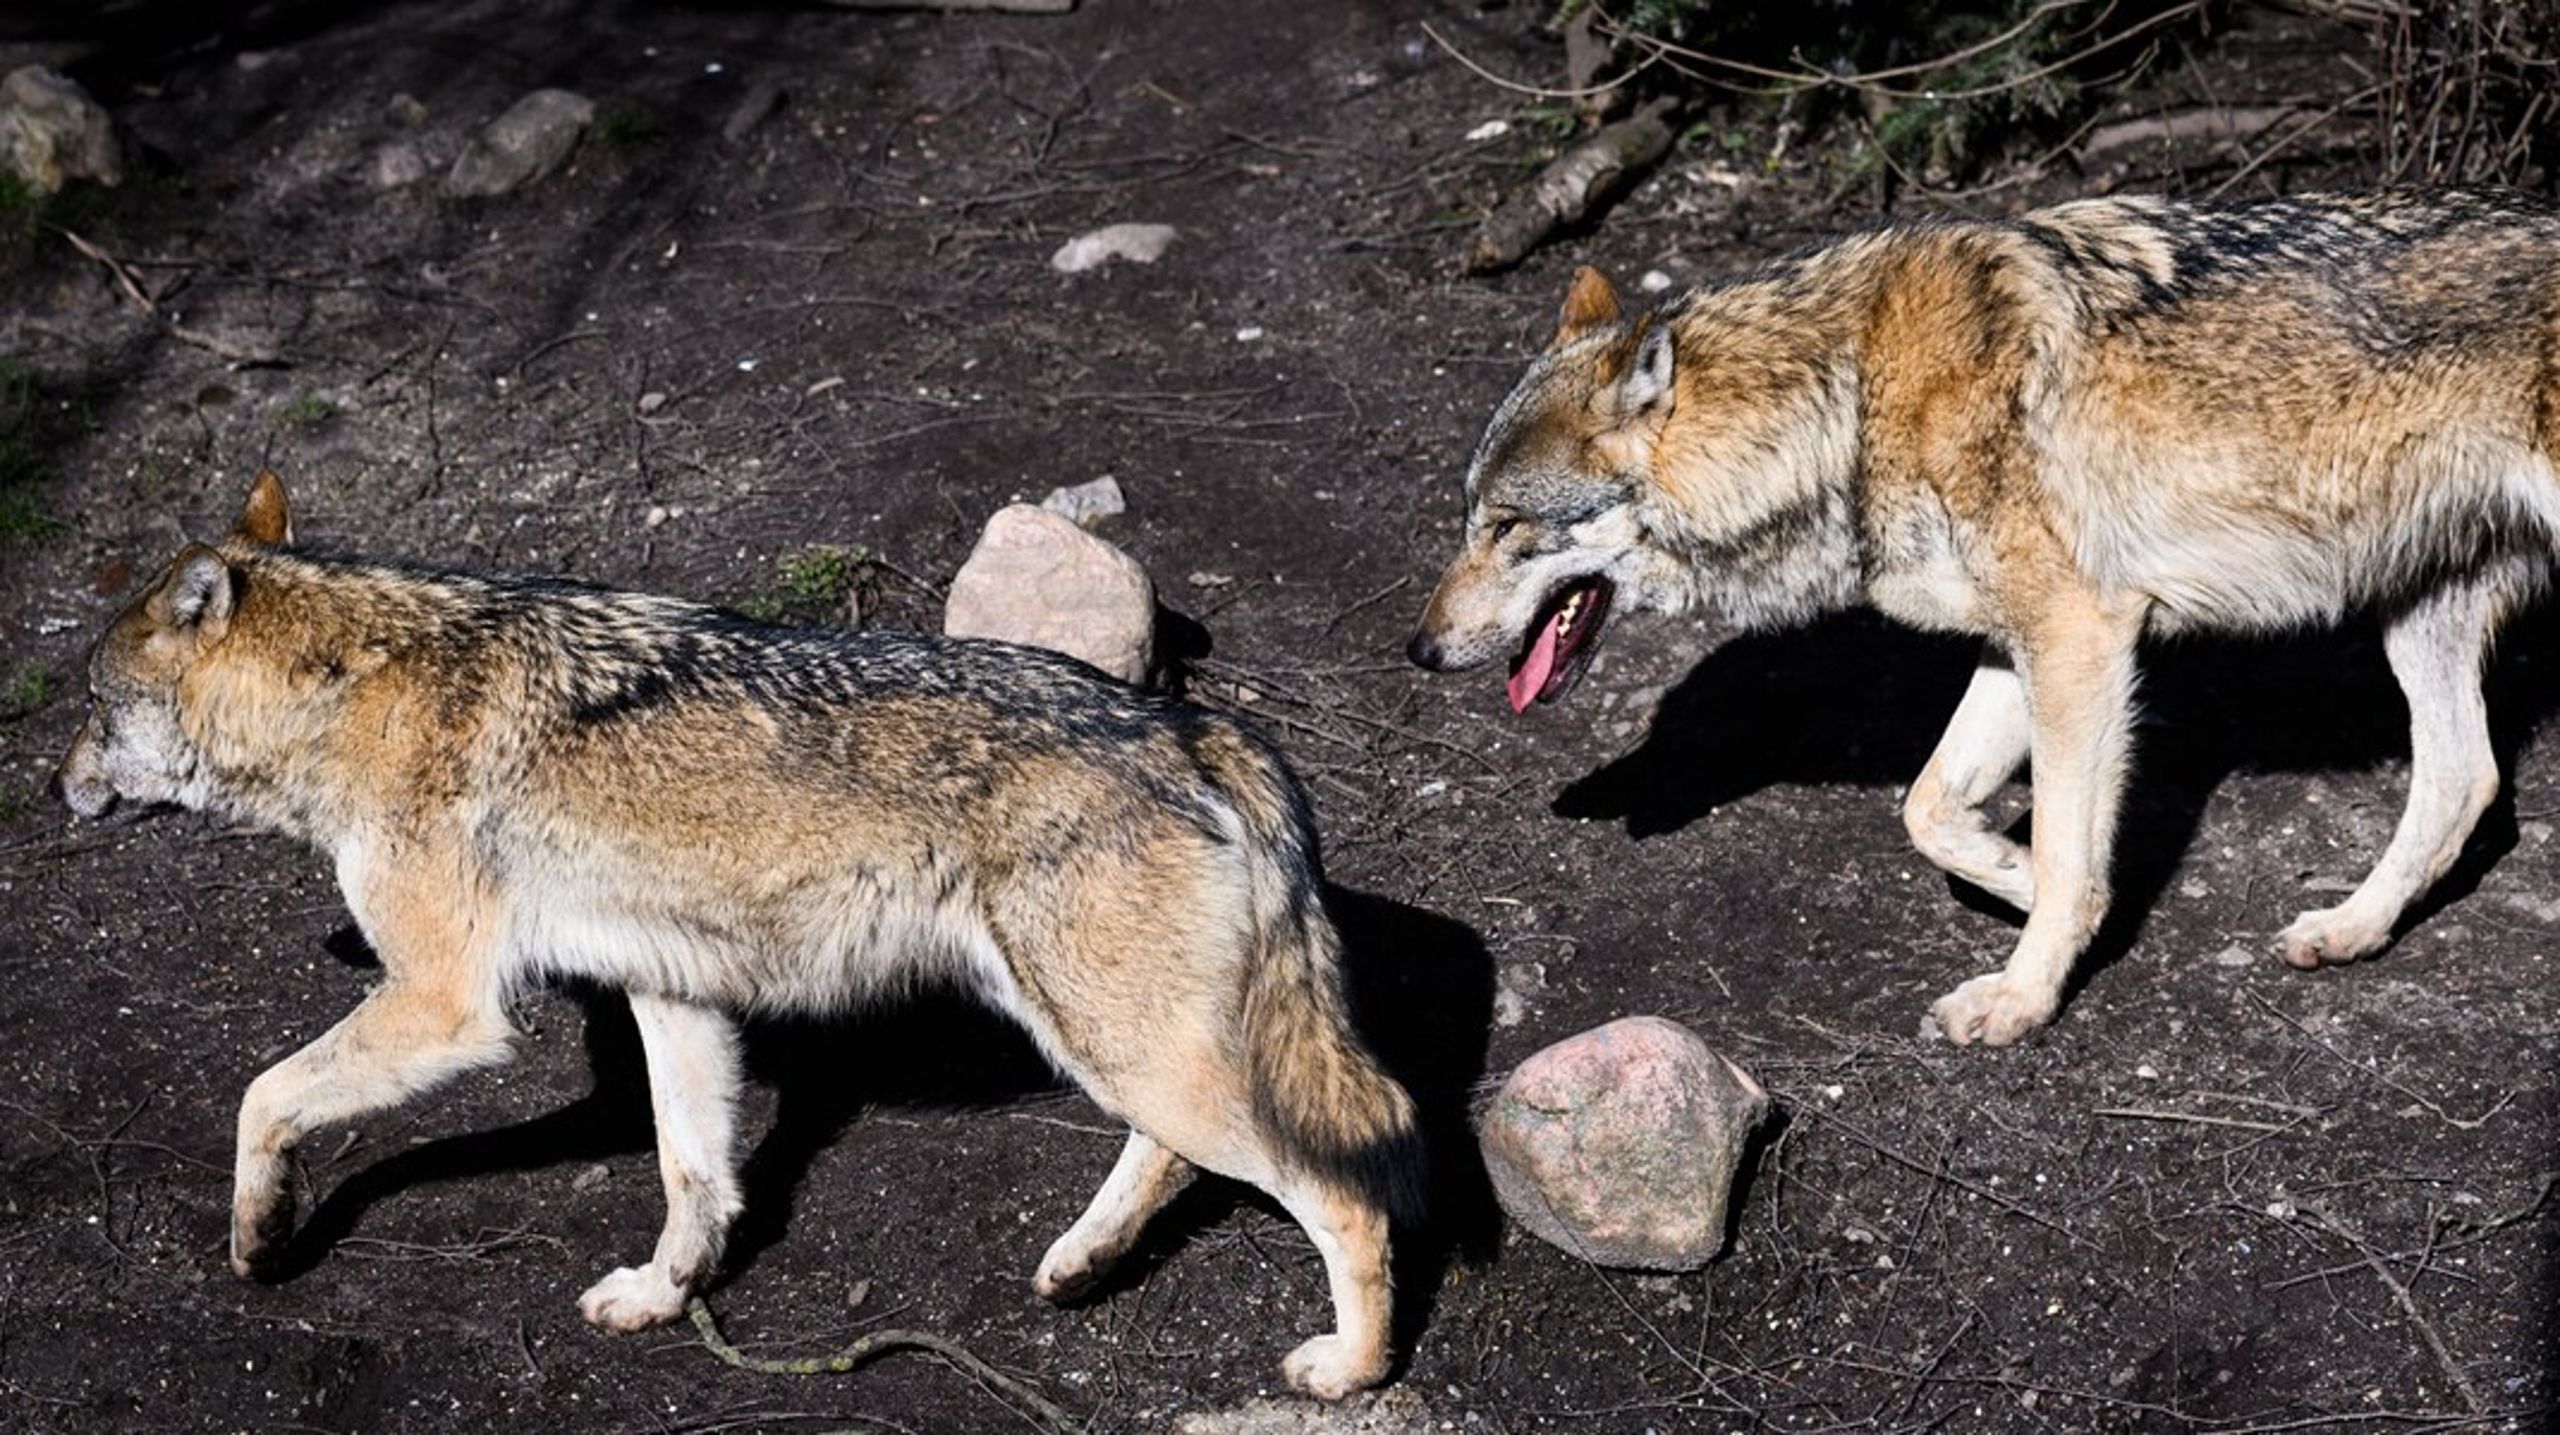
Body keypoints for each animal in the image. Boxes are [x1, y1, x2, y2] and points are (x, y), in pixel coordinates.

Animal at [60, 475, 1433, 1391]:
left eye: (87, 704)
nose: (53, 780)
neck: (354, 687)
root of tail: (1197, 727)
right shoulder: (669, 992)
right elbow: (695, 1175)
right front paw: (666, 1295)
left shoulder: (449, 1004)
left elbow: (261, 1095)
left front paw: (257, 1235)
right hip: (1123, 1046)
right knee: (1180, 1158)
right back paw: (1079, 1265)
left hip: (1128, 1046)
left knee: (1343, 1196)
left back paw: (1349, 1368)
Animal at [1413, 188, 2560, 1038]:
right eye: (1469, 517)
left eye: (1508, 526)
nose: (1419, 649)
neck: (1853, 398)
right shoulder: (2017, 651)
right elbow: (1932, 811)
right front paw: (2028, 884)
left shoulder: (2081, 638)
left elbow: (2054, 841)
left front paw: (2022, 991)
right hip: (2419, 616)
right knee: (2465, 779)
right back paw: (2349, 929)